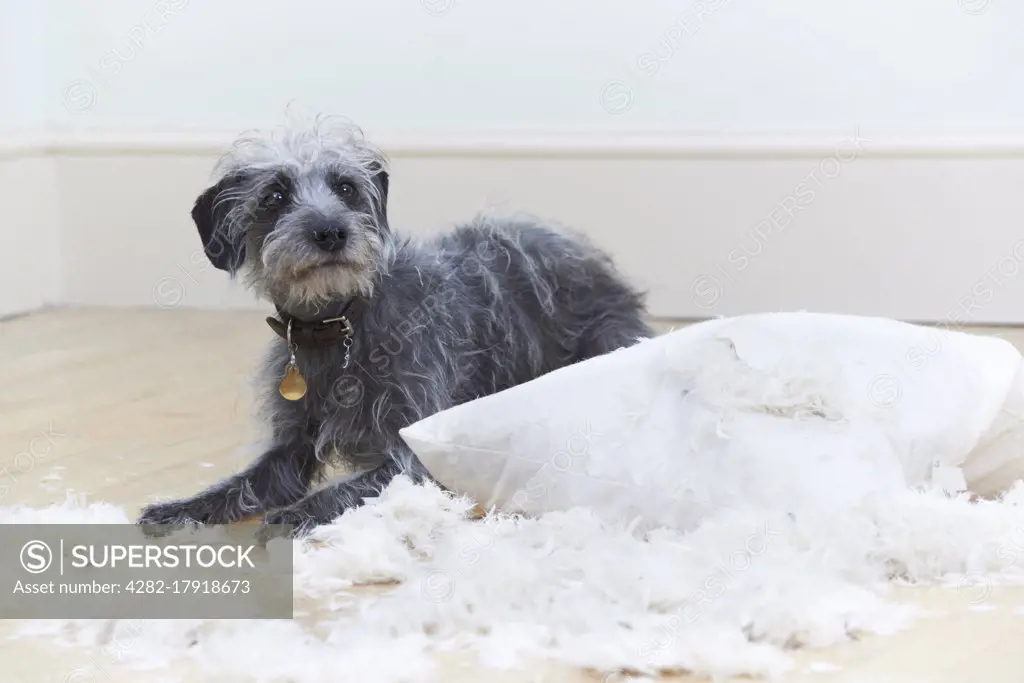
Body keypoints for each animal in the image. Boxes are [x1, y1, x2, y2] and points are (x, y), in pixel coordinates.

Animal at [136, 118, 651, 540]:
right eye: (274, 196)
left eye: (345, 188)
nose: (330, 232)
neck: (339, 324)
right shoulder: (289, 450)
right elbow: (241, 484)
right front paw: (181, 507)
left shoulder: (414, 450)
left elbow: (345, 488)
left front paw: (299, 513)